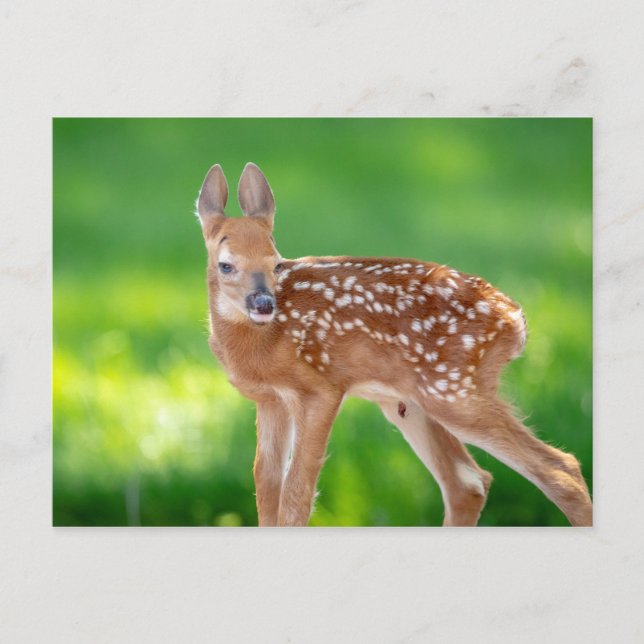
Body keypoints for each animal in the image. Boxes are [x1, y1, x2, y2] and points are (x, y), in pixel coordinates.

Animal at [195, 162, 593, 527]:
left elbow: (296, 494)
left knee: (561, 470)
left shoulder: (322, 387)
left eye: (277, 264)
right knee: (468, 482)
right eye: (226, 265)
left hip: (454, 390)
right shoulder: (270, 400)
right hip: (411, 403)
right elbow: (266, 488)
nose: (264, 304)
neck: (262, 343)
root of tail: (515, 320)